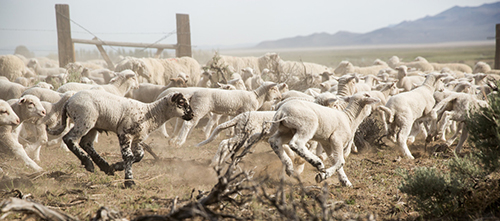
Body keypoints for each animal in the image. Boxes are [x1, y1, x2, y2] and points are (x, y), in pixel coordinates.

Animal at [47, 89, 194, 186]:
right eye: (181, 103)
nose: (192, 115)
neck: (150, 113)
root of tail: (68, 102)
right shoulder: (125, 133)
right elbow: (129, 156)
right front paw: (129, 181)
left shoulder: (137, 138)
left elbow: (139, 156)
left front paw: (116, 166)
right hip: (84, 120)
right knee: (69, 138)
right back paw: (88, 163)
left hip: (93, 125)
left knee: (86, 143)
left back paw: (104, 166)